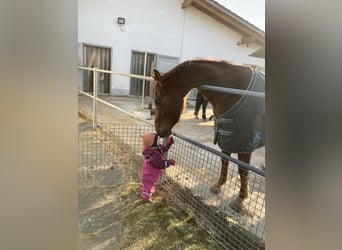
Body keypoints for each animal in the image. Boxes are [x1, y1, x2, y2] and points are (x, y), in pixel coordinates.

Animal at [152, 58, 264, 211]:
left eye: (157, 100)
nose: (158, 131)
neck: (235, 93)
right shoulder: (226, 137)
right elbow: (225, 161)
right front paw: (218, 185)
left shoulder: (245, 145)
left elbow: (243, 171)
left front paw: (240, 200)